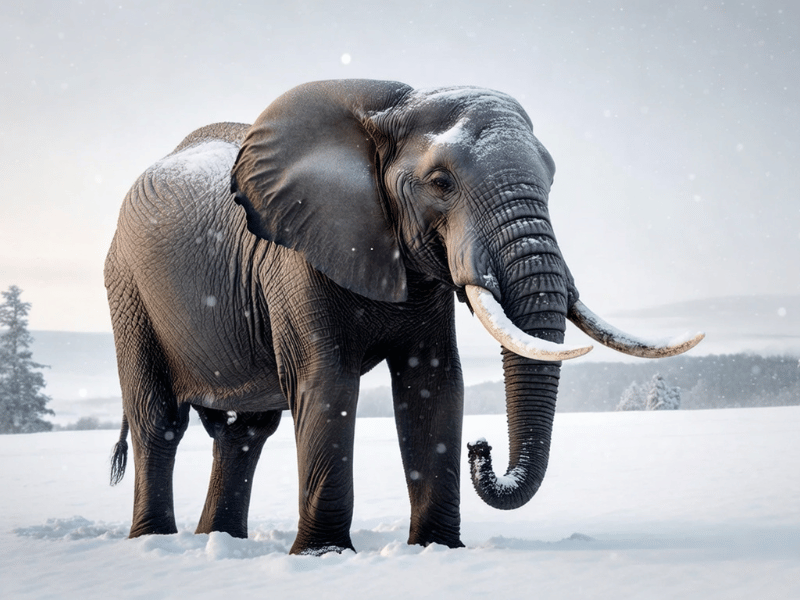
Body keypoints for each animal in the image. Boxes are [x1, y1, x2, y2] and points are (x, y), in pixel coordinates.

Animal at [105, 79, 703, 555]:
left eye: (552, 180)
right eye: (441, 183)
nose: (481, 448)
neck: (389, 110)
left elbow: (433, 384)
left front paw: (436, 551)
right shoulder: (294, 256)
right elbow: (327, 382)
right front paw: (322, 557)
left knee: (243, 432)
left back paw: (218, 542)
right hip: (126, 289)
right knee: (159, 420)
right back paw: (154, 545)